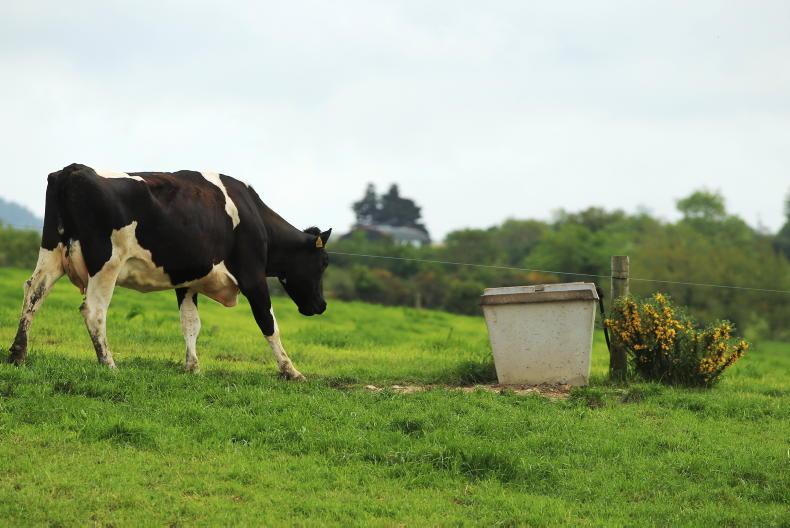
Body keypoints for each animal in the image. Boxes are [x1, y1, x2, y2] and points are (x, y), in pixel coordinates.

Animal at [7, 163, 331, 380]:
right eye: (324, 263)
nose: (321, 305)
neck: (254, 215)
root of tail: (72, 170)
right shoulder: (252, 275)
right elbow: (268, 322)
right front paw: (291, 370)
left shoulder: (186, 281)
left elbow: (190, 324)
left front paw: (193, 366)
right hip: (106, 263)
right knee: (93, 311)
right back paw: (108, 363)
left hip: (51, 252)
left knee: (33, 294)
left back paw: (17, 354)